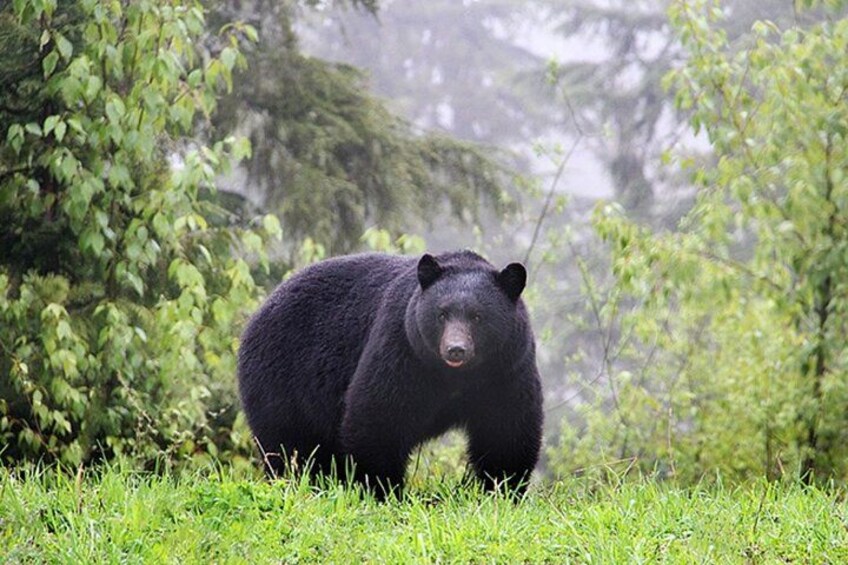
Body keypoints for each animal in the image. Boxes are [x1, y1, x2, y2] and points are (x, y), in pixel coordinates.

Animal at [237, 250, 543, 498]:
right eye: (442, 314)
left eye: (478, 317)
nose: (456, 350)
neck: (456, 377)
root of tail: (257, 315)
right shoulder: (402, 347)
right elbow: (380, 416)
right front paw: (382, 489)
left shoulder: (507, 369)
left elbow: (505, 429)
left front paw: (503, 489)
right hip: (281, 379)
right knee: (290, 443)